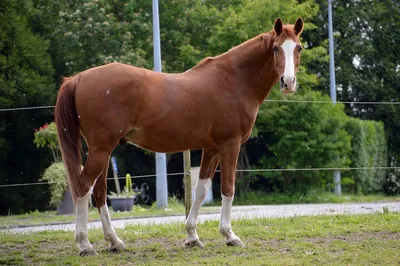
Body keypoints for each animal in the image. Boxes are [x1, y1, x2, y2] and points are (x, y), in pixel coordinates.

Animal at [54, 17, 304, 255]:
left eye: (299, 48)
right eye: (276, 48)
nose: (288, 82)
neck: (234, 80)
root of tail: (78, 78)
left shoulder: (211, 149)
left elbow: (201, 190)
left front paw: (192, 236)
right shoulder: (229, 146)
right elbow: (228, 188)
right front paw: (229, 235)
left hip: (104, 151)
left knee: (99, 191)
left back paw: (115, 241)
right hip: (101, 149)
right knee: (83, 187)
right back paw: (85, 244)